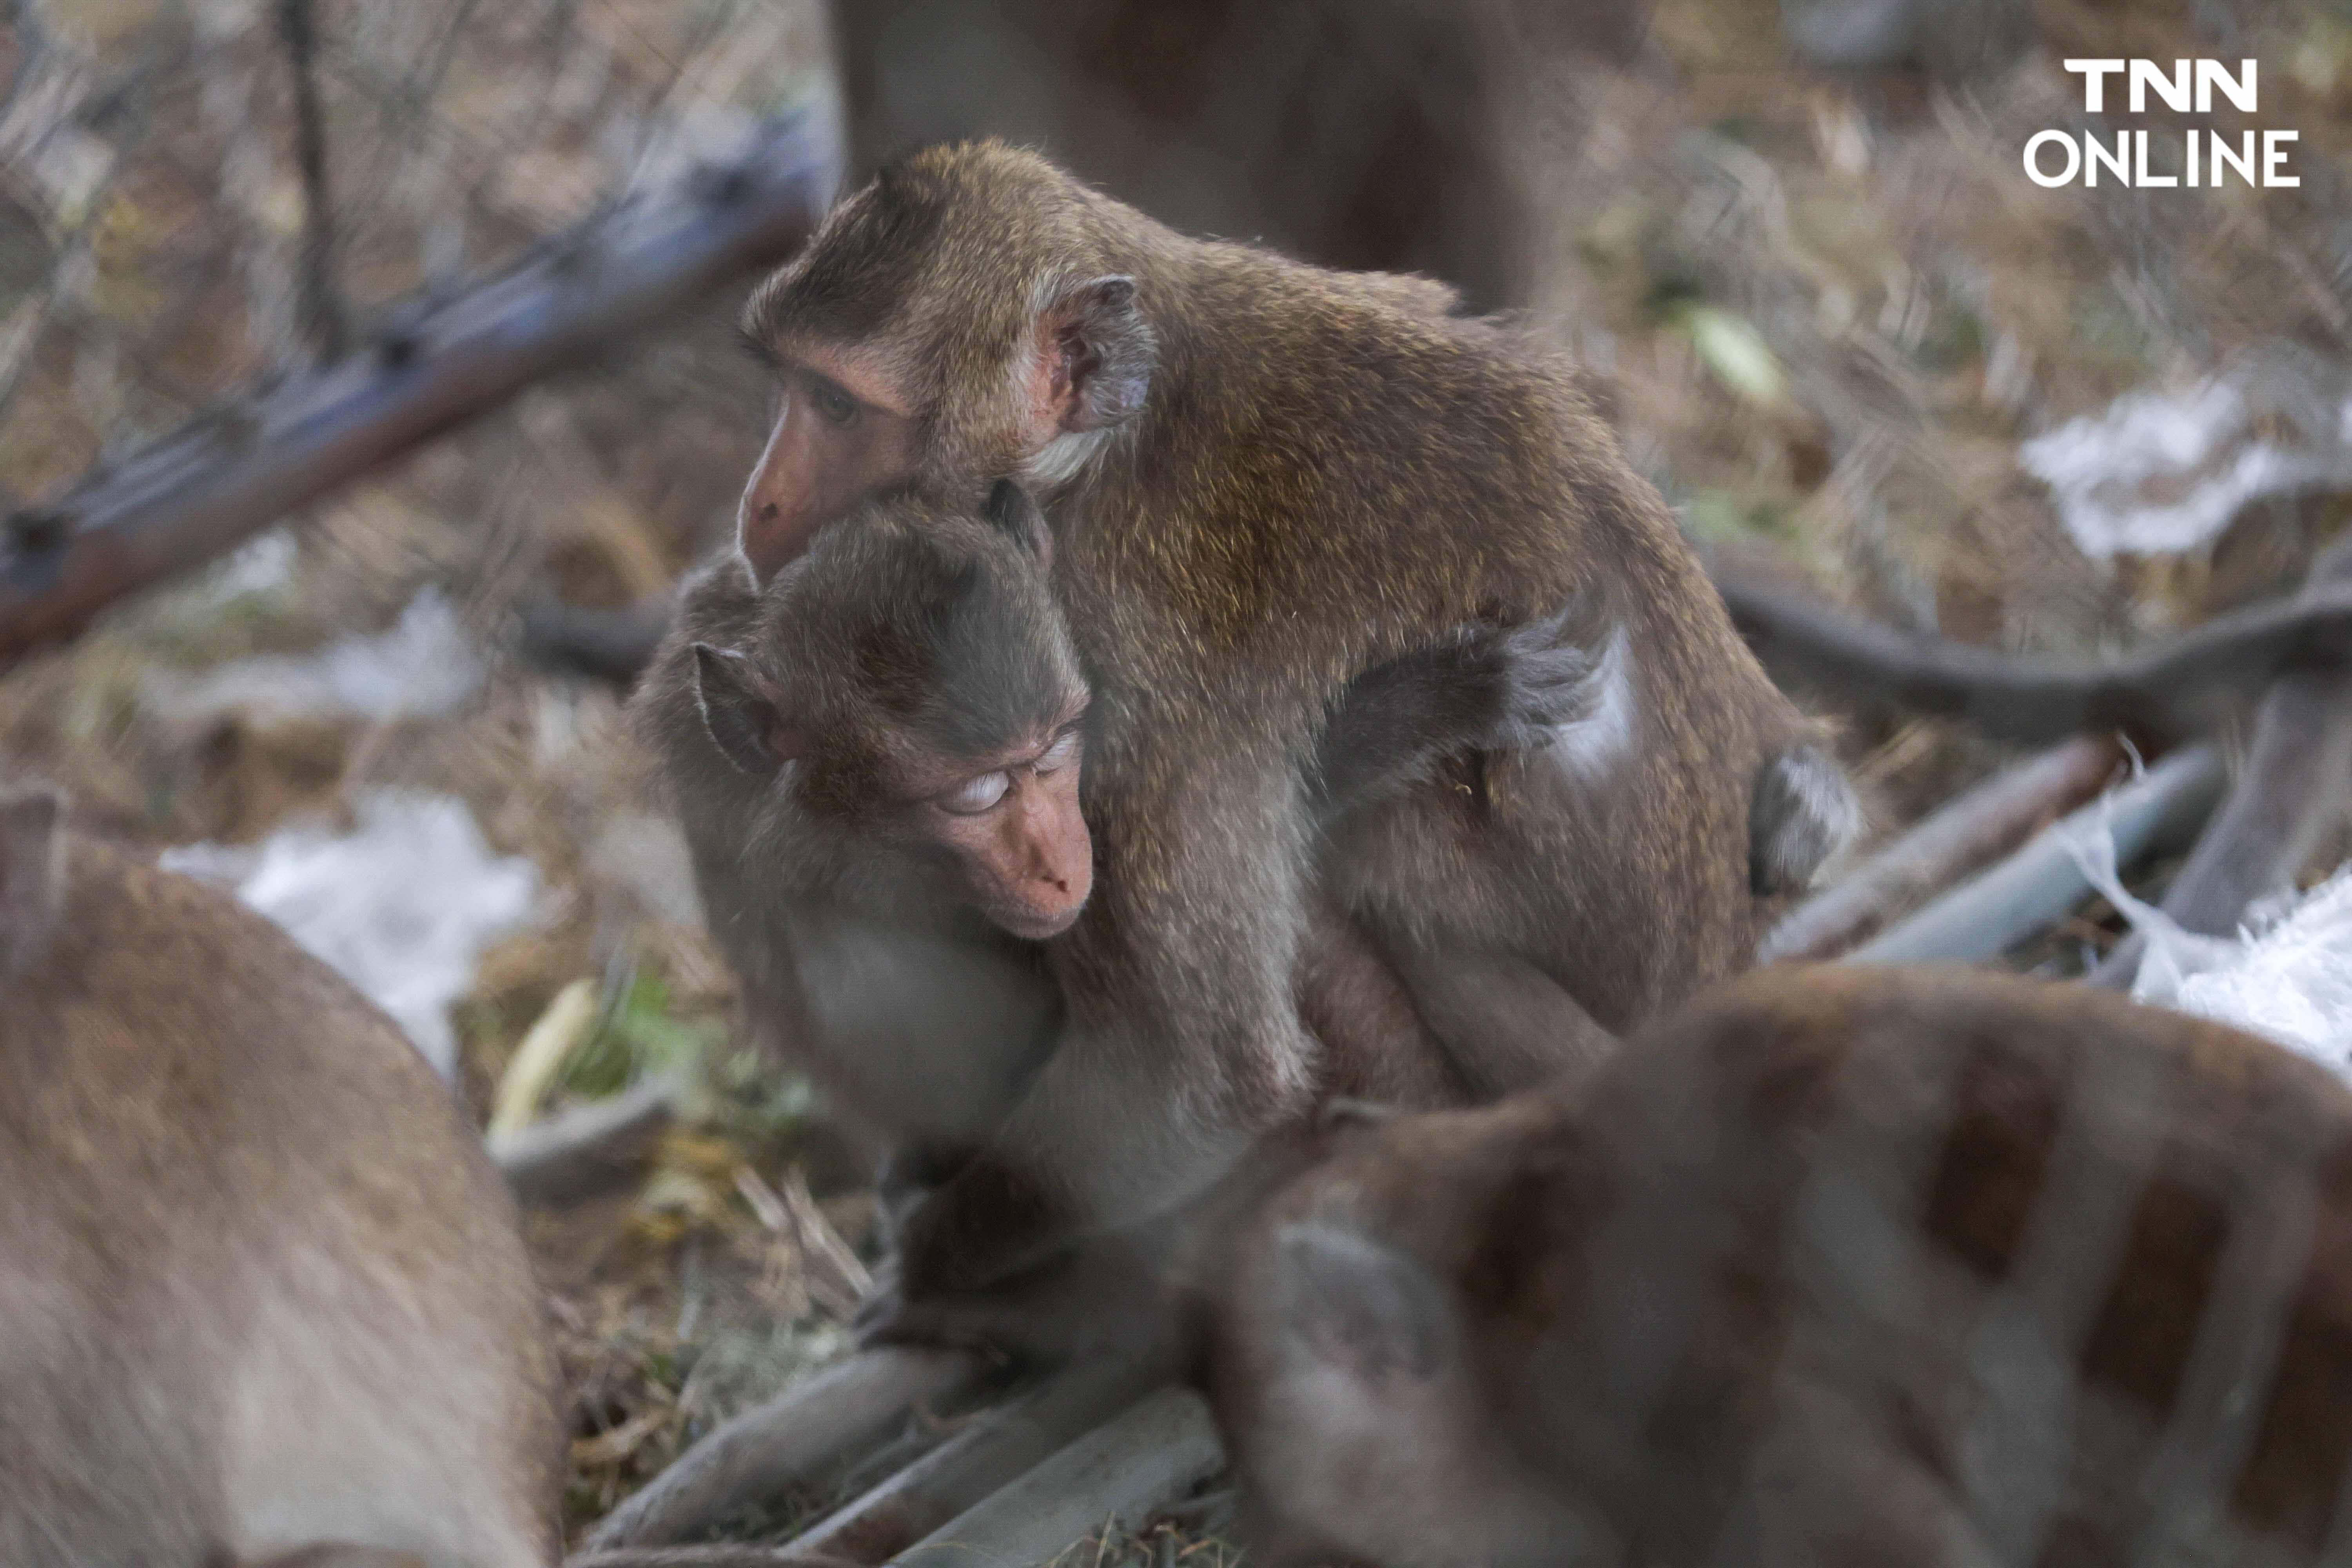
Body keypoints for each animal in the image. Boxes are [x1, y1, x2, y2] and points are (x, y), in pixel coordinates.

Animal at [734, 144, 1853, 1326]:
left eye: (835, 404)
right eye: (789, 382)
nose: (759, 508)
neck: (1103, 449)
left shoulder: (1113, 661)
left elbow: (1195, 1069)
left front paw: (925, 1263)